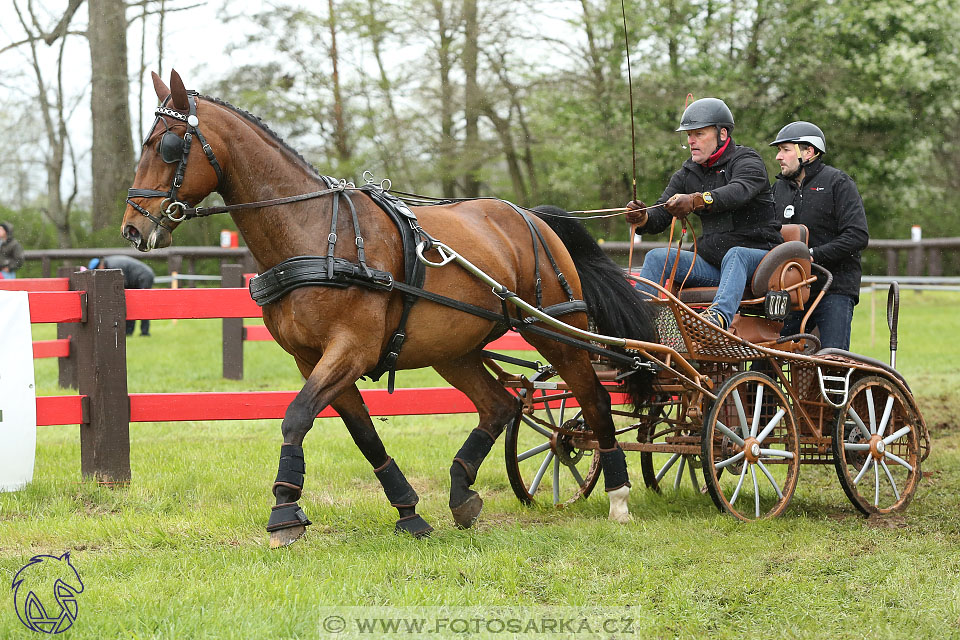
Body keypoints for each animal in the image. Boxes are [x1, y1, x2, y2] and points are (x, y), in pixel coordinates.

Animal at [124, 72, 656, 548]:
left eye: (165, 145)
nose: (133, 227)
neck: (316, 233)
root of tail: (532, 217)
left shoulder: (350, 349)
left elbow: (296, 417)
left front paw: (284, 513)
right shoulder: (313, 359)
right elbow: (363, 435)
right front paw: (408, 512)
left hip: (557, 329)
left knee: (594, 398)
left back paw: (618, 495)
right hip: (454, 349)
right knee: (501, 405)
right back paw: (461, 492)